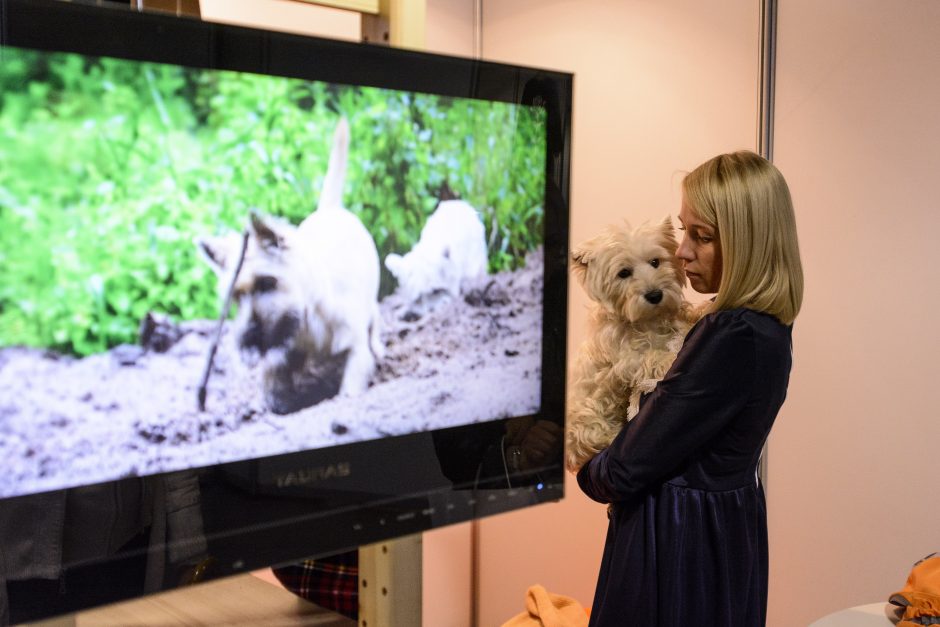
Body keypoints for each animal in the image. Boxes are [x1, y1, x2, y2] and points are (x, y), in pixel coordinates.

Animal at [197, 118, 382, 414]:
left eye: (266, 282)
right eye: (235, 297)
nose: (247, 344)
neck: (308, 320)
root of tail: (330, 209)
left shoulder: (355, 350)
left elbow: (351, 383)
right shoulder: (284, 352)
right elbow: (273, 379)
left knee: (375, 314)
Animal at [564, 218, 696, 474]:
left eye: (655, 261)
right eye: (623, 273)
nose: (655, 295)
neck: (649, 319)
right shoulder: (627, 360)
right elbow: (654, 356)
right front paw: (672, 358)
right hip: (587, 422)